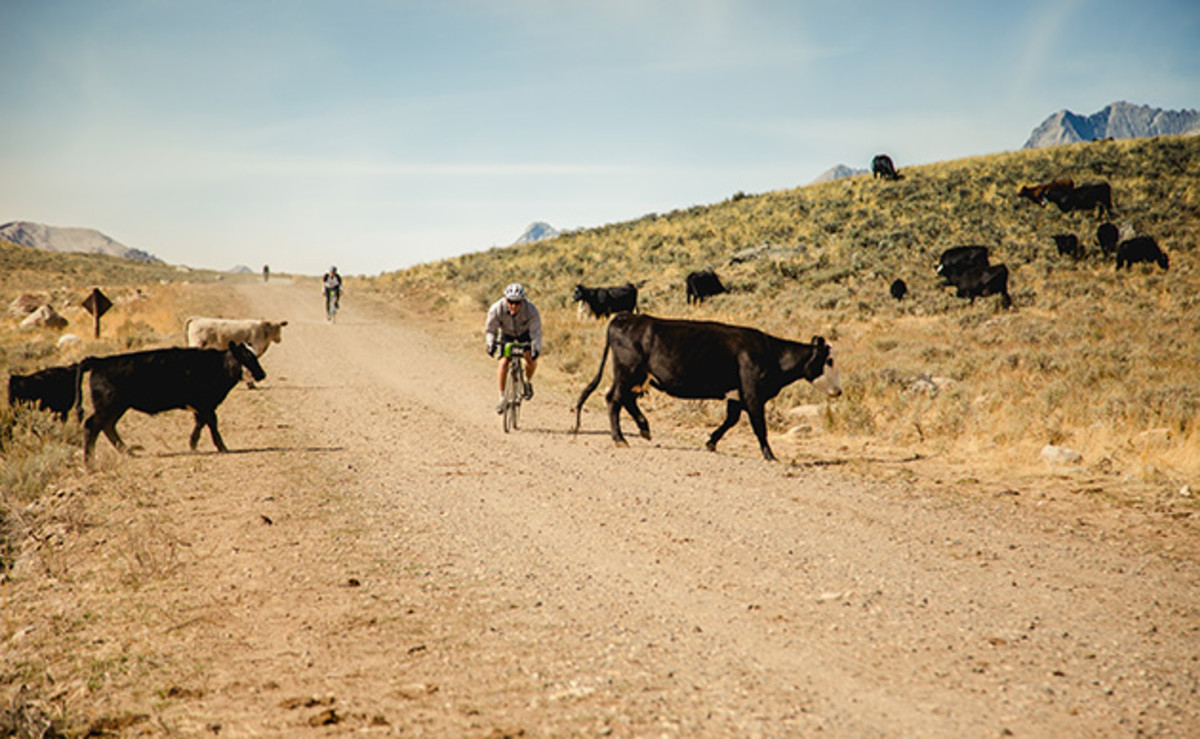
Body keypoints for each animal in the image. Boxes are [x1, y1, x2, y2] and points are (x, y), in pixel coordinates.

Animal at [80, 343, 267, 465]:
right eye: (248, 356)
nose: (261, 374)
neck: (218, 365)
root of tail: (99, 361)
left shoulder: (202, 406)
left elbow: (201, 423)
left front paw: (193, 444)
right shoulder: (205, 404)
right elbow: (212, 423)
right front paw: (222, 447)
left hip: (117, 407)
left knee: (108, 427)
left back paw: (127, 452)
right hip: (108, 406)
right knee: (92, 425)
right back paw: (89, 461)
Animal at [571, 314, 844, 460]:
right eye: (829, 361)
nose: (839, 391)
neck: (771, 354)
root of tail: (625, 316)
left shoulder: (736, 395)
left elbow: (731, 420)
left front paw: (711, 442)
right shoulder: (753, 393)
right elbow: (759, 426)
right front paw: (770, 455)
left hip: (636, 377)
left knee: (625, 400)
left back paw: (644, 428)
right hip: (628, 372)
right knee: (614, 399)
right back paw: (620, 438)